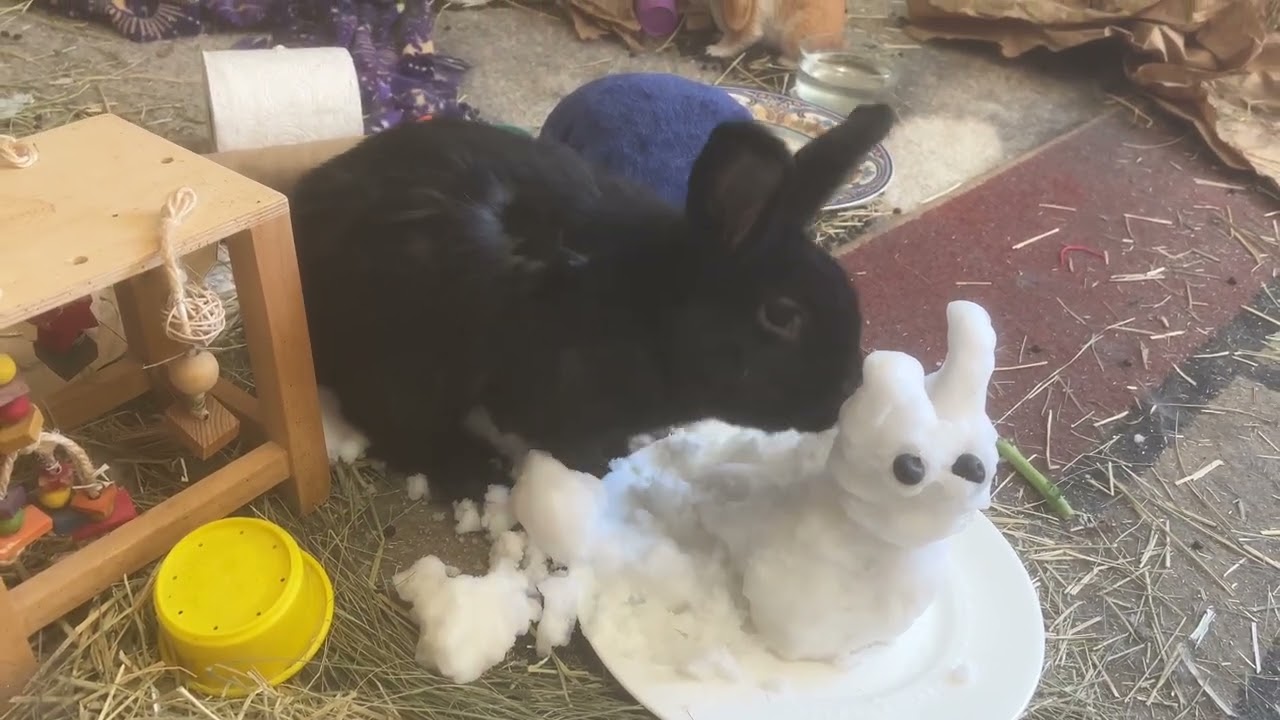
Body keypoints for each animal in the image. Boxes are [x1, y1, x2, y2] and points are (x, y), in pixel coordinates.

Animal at [287, 104, 895, 500]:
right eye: (781, 315)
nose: (848, 388)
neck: (652, 311)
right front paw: (600, 468)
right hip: (410, 356)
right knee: (392, 421)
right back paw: (474, 469)